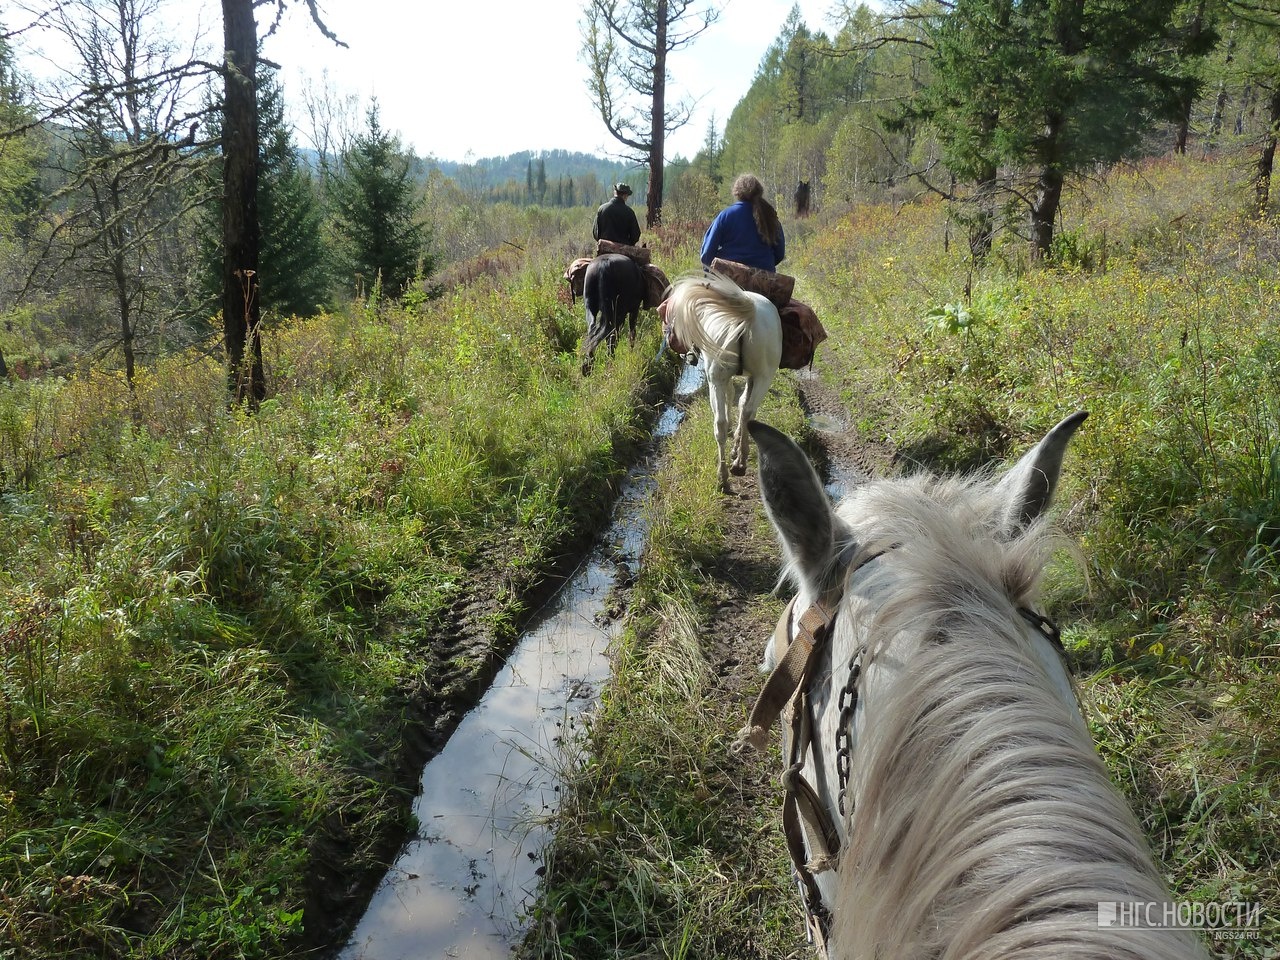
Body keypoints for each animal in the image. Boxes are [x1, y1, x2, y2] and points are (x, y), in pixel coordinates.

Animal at [665, 272, 783, 491]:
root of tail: (748, 313)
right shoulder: (751, 377)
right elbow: (743, 404)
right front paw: (737, 446)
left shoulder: (722, 379)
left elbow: (731, 398)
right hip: (764, 376)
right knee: (748, 412)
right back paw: (738, 463)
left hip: (717, 378)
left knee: (720, 423)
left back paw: (724, 476)